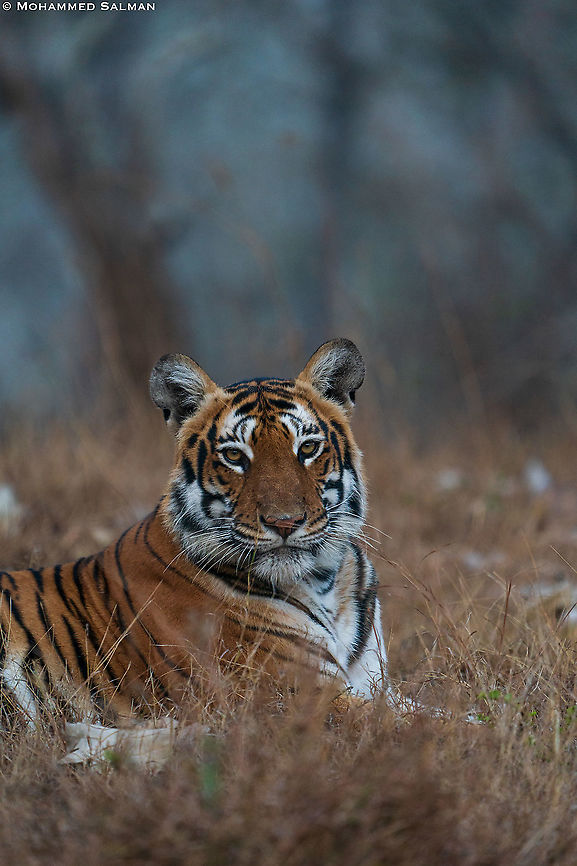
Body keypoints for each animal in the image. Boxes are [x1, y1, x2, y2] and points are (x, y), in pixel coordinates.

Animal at [0, 338, 396, 725]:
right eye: (234, 456)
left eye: (308, 448)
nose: (284, 522)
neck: (324, 584)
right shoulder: (295, 694)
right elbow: (402, 719)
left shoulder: (372, 682)